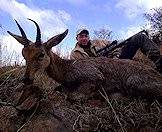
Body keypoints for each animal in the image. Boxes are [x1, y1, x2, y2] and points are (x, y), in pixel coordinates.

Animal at [7, 19, 162, 102]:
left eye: (41, 54)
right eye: (24, 54)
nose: (26, 79)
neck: (67, 68)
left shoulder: (95, 77)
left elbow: (72, 96)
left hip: (133, 82)